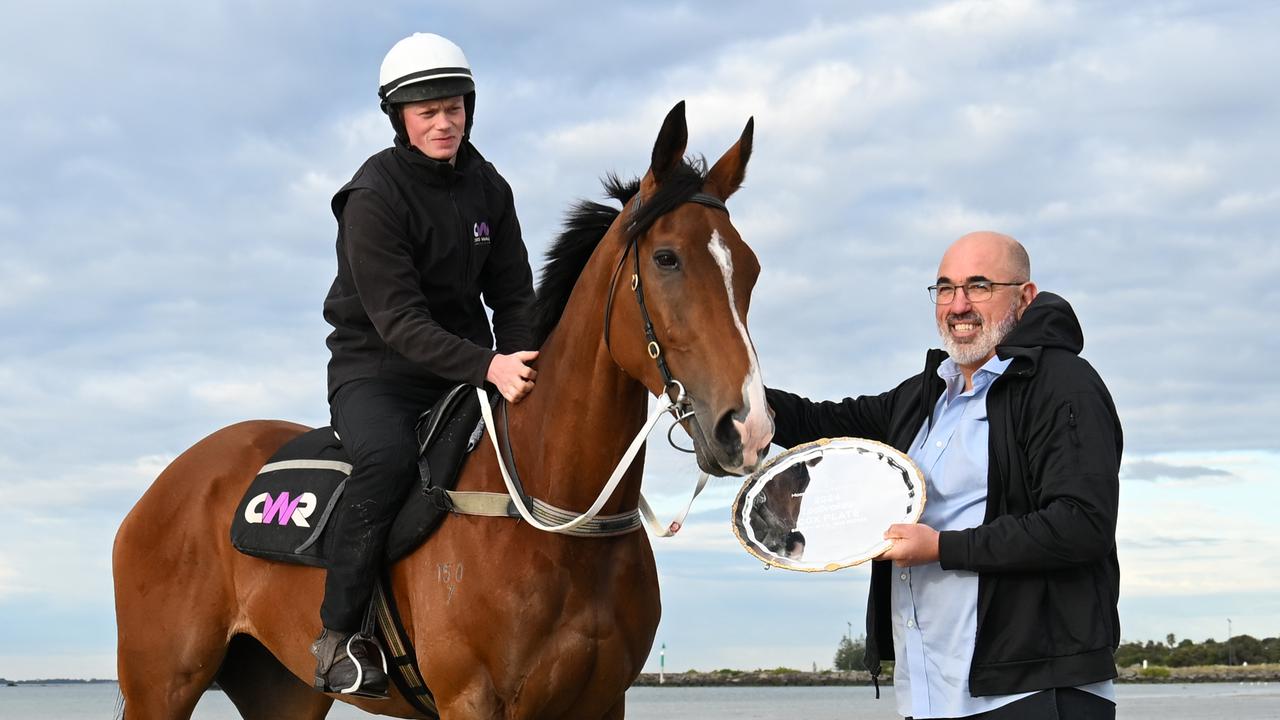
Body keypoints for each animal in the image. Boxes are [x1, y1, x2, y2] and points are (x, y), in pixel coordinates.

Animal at [112, 102, 768, 717]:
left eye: (751, 266)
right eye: (666, 258)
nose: (748, 427)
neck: (554, 517)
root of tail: (159, 491)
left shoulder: (605, 702)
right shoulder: (472, 700)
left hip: (281, 691)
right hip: (160, 685)